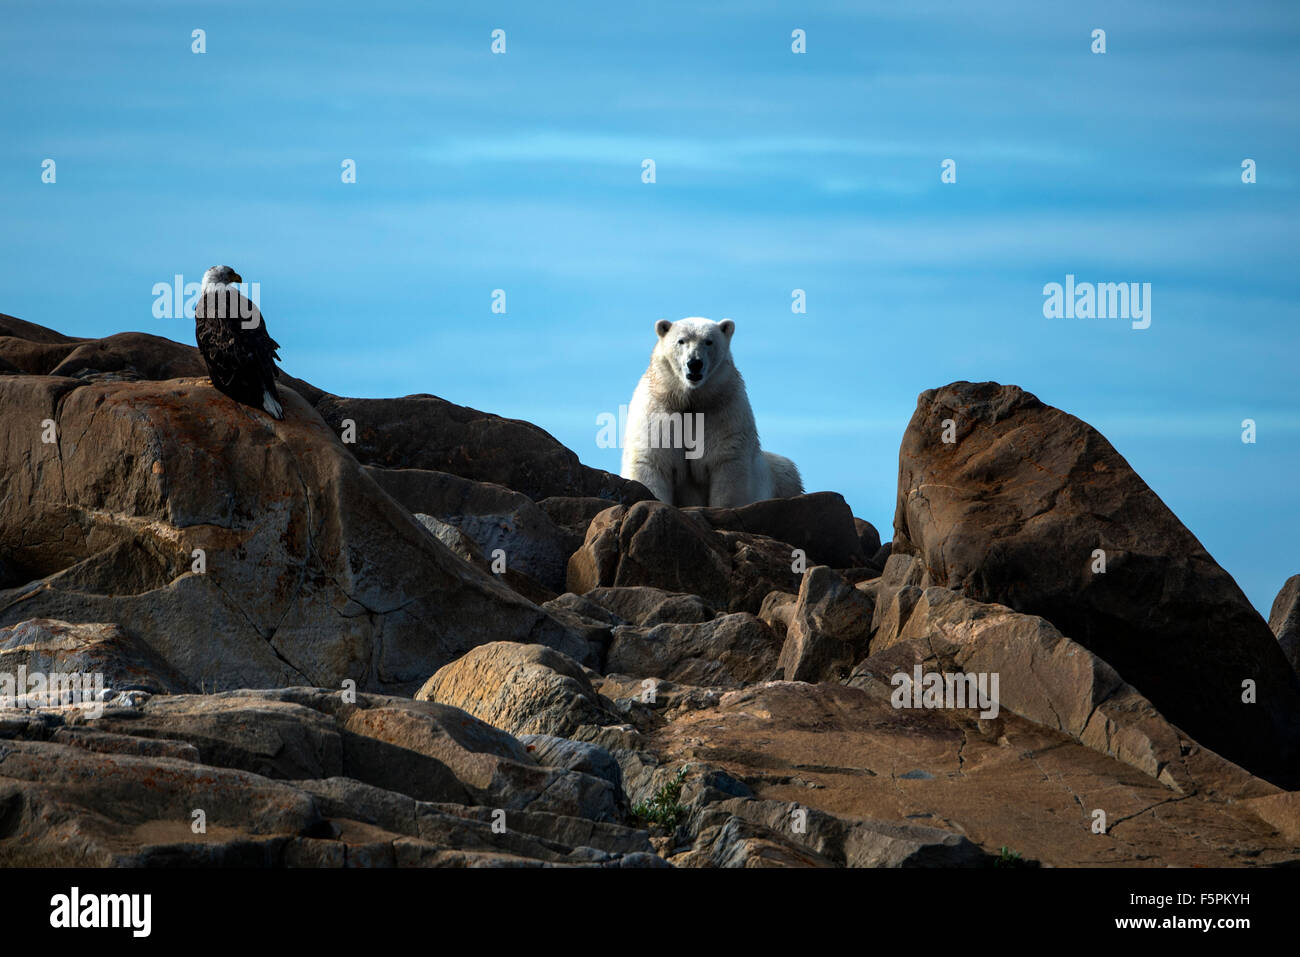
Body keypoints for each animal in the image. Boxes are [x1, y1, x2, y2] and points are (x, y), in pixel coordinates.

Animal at [621, 315, 800, 509]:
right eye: (681, 340)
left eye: (708, 341)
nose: (694, 363)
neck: (692, 400)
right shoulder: (660, 411)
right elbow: (654, 459)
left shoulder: (722, 411)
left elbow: (724, 462)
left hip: (780, 473)